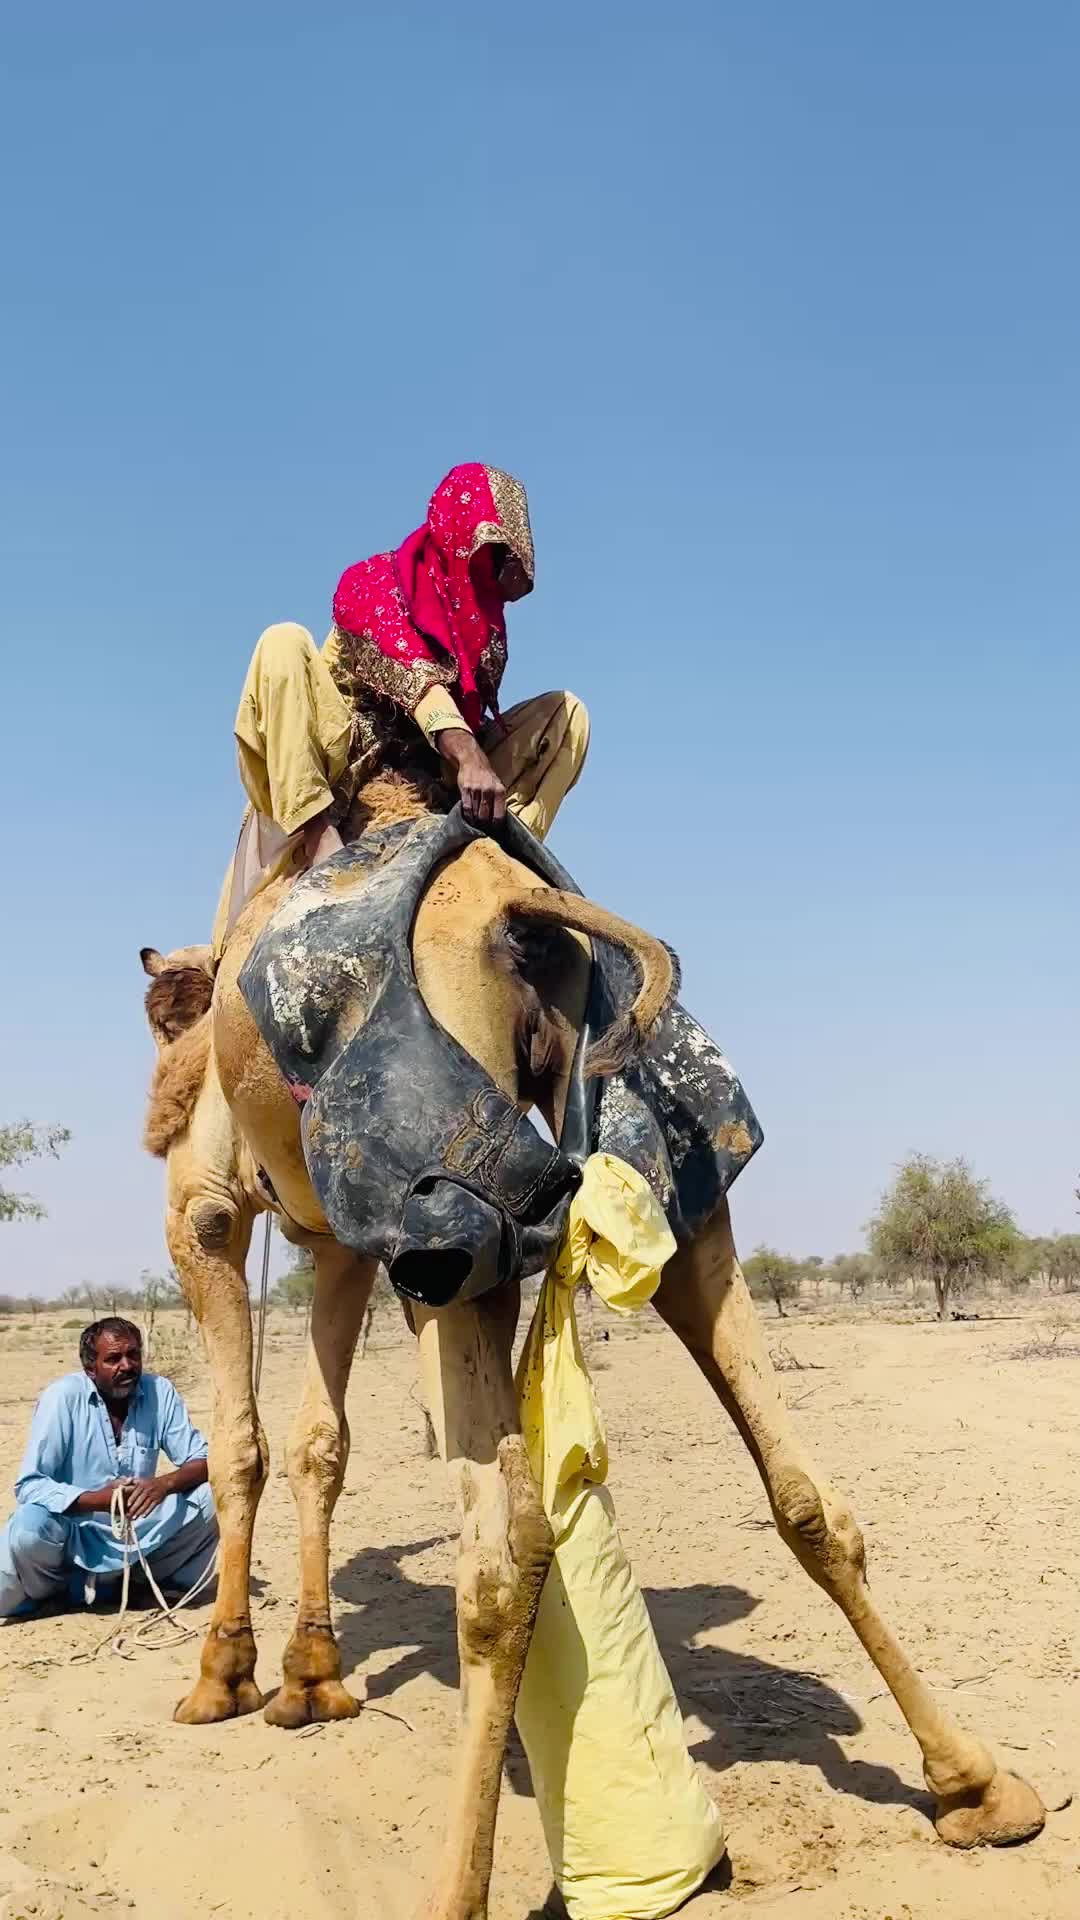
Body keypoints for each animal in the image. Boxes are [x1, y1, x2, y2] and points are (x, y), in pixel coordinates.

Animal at [140, 775, 1044, 1920]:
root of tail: (513, 909)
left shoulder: (208, 1211)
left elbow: (245, 1445)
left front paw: (224, 1678)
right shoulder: (332, 1243)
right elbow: (318, 1444)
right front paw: (310, 1676)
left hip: (447, 1232)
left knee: (499, 1551)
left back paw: (457, 1892)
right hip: (652, 1162)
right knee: (801, 1490)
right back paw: (979, 1787)